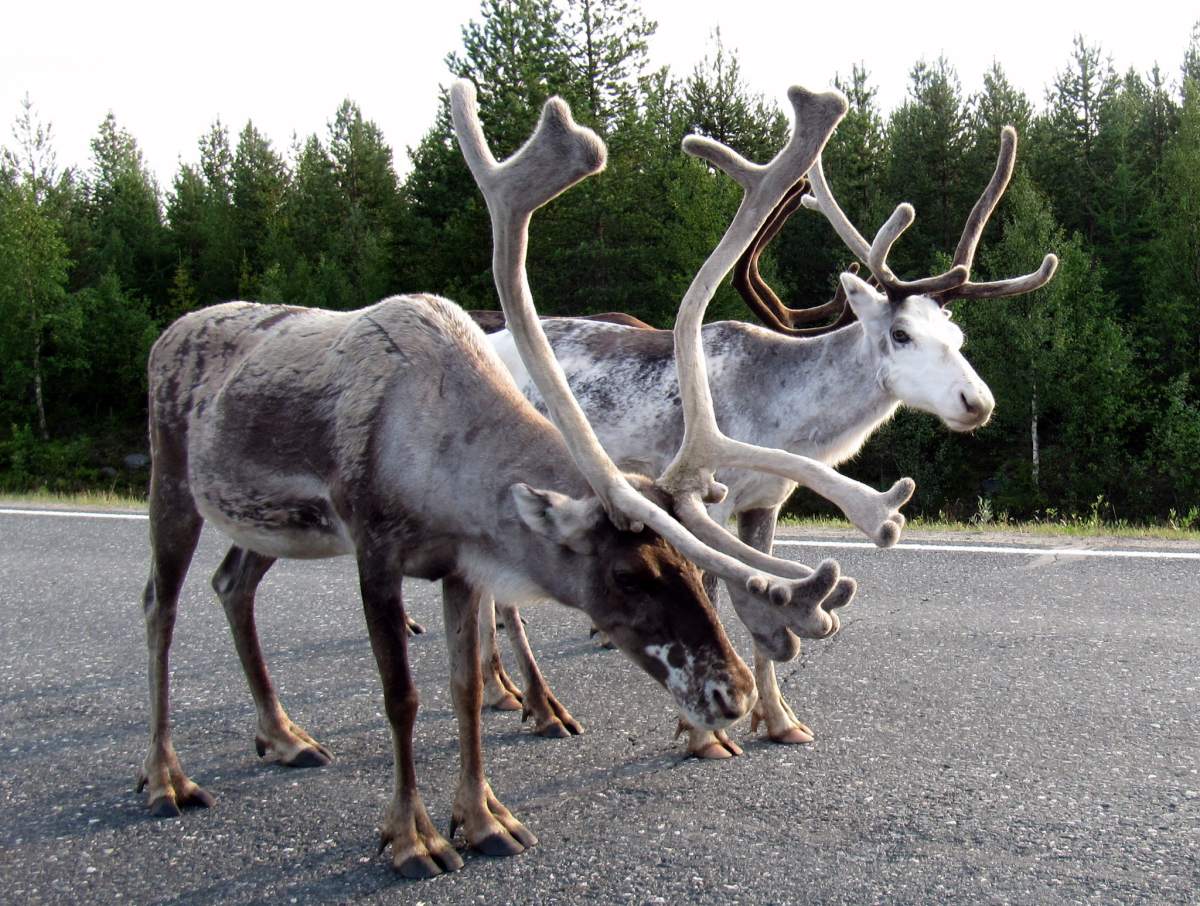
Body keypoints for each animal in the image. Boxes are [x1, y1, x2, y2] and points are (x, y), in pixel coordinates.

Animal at [135, 80, 892, 880]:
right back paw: (166, 777)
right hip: (172, 479)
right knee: (160, 604)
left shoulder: (461, 562)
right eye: (626, 575)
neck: (440, 457)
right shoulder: (375, 548)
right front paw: (412, 837)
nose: (734, 694)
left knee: (231, 584)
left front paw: (484, 819)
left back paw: (282, 736)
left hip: (269, 525)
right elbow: (402, 695)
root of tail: (169, 331)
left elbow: (464, 689)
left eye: (694, 565)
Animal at [475, 125, 1058, 757]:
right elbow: (714, 586)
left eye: (957, 334)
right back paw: (539, 704)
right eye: (901, 334)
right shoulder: (707, 494)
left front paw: (779, 721)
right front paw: (702, 733)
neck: (792, 426)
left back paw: (500, 689)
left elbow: (769, 592)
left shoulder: (767, 500)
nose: (978, 402)